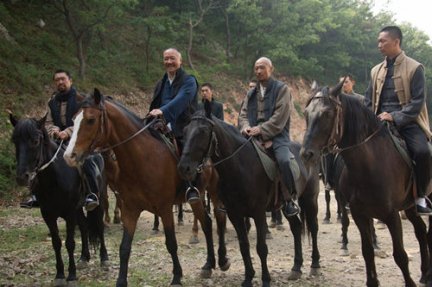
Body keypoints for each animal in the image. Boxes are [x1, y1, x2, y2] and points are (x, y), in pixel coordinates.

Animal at [9, 113, 108, 286]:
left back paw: (104, 258)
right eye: (14, 140)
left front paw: (72, 275)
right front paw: (60, 275)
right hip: (78, 209)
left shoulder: (69, 212)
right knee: (84, 227)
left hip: (99, 200)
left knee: (99, 226)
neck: (54, 178)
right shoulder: (48, 214)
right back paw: (84, 257)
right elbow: (56, 243)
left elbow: (69, 243)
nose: (22, 177)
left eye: (35, 140)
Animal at [63, 89, 230, 286]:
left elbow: (171, 243)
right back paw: (208, 265)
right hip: (197, 198)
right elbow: (124, 248)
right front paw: (121, 281)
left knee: (219, 219)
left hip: (214, 192)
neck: (142, 158)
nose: (69, 156)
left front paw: (176, 276)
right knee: (207, 223)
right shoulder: (131, 209)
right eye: (74, 119)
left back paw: (222, 260)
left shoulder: (165, 209)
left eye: (90, 120)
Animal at [300, 81, 432, 287]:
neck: (369, 165)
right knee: (420, 231)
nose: (306, 154)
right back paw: (425, 273)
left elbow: (400, 256)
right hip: (410, 206)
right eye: (306, 113)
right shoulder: (359, 214)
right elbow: (367, 252)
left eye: (327, 113)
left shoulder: (391, 215)